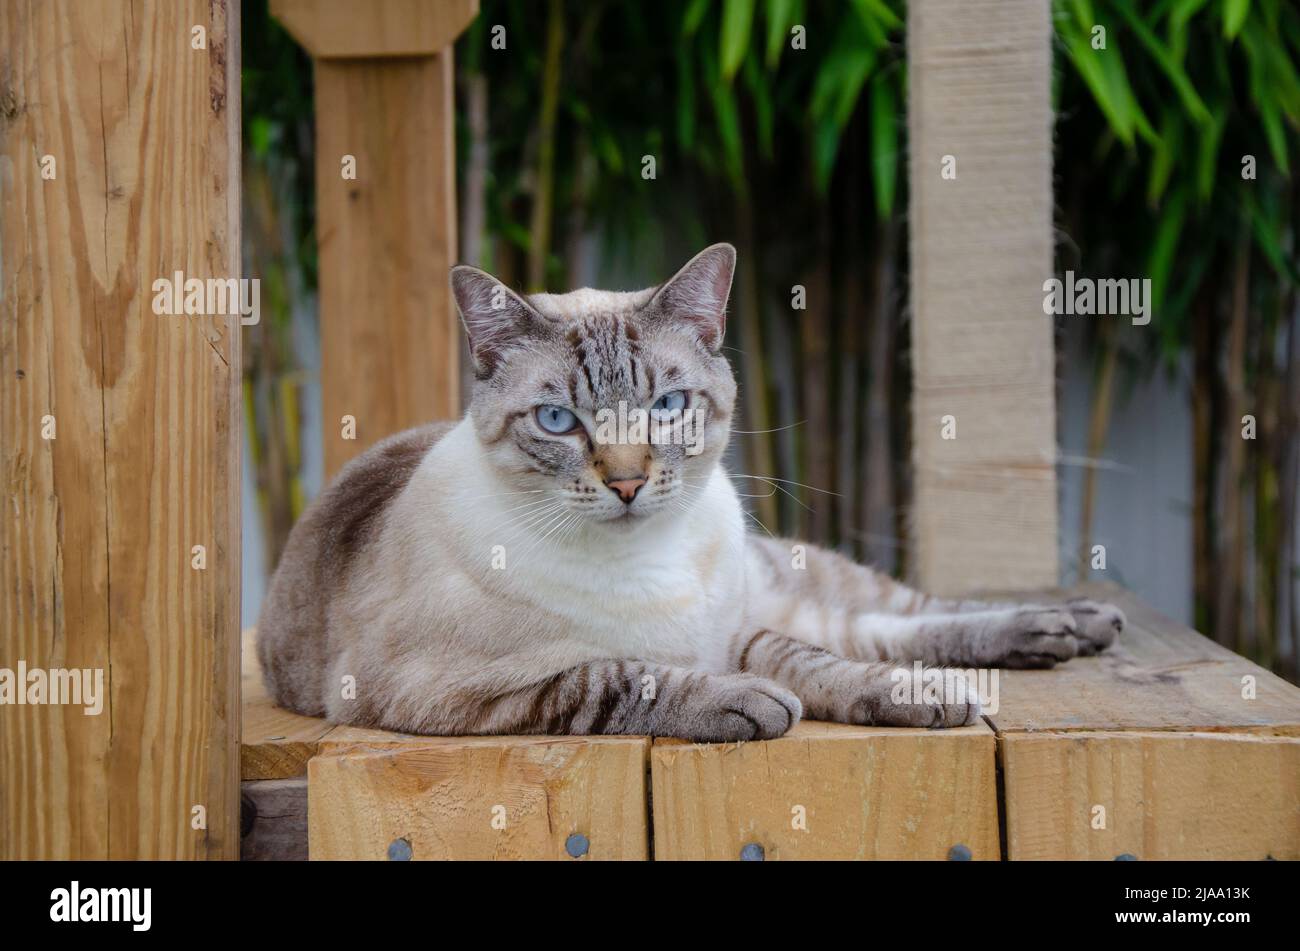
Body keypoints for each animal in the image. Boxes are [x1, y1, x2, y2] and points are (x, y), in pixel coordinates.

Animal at [258, 245, 1123, 743]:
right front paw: (752, 705)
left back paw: (1070, 624)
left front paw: (909, 698)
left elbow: (813, 662)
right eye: (558, 420)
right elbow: (617, 674)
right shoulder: (449, 688)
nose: (627, 480)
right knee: (874, 628)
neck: (648, 564)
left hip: (791, 576)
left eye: (667, 406)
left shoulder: (733, 628)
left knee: (901, 616)